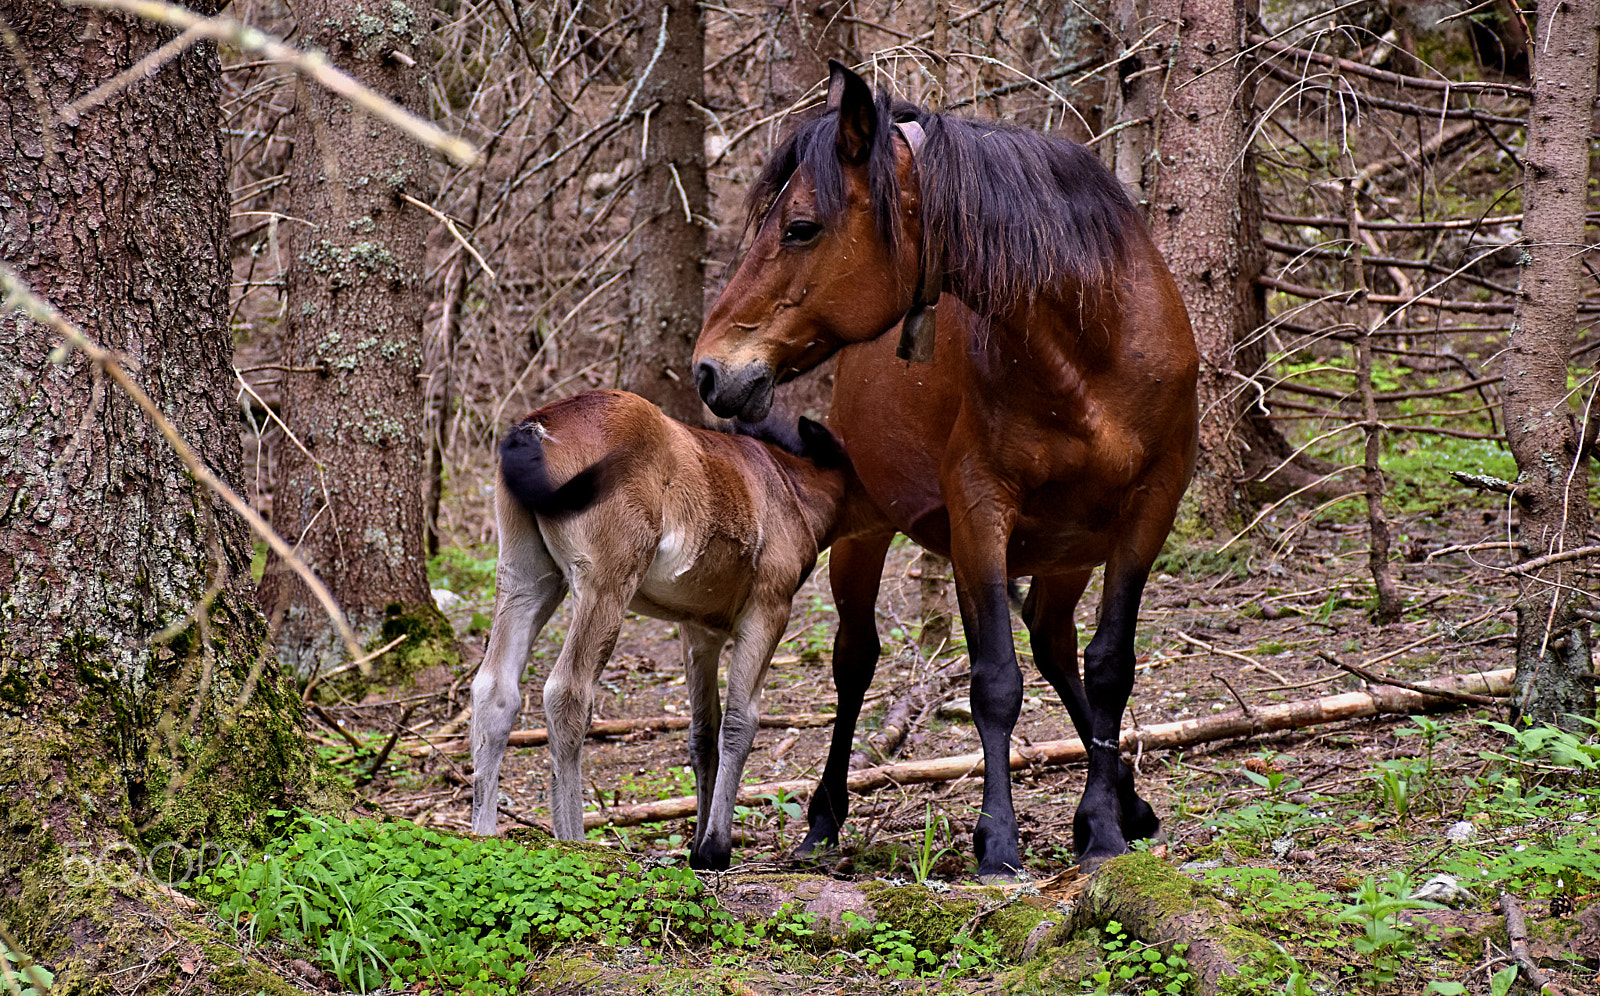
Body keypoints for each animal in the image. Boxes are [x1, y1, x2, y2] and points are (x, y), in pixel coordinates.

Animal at [470, 389, 869, 870]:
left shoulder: (699, 630)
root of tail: (537, 425)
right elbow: (740, 722)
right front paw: (715, 849)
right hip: (605, 579)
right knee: (567, 691)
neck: (787, 486)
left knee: (495, 690)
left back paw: (483, 837)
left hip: (526, 577)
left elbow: (703, 734)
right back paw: (575, 842)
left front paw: (697, 846)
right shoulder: (769, 608)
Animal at [691, 62, 1198, 879]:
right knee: (856, 662)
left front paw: (1103, 827)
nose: (710, 371)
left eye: (800, 227)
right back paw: (823, 819)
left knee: (1055, 646)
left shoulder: (1148, 512)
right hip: (871, 539)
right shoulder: (980, 512)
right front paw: (999, 841)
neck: (1091, 348)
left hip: (1063, 553)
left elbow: (1109, 666)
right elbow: (994, 681)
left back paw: (1125, 800)